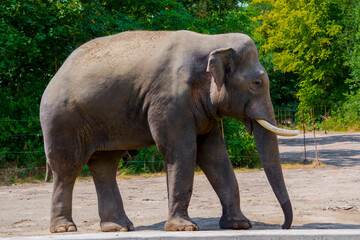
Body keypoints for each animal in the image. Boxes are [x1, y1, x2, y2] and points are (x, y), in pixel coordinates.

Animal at [40, 29, 298, 232]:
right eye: (257, 84)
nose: (284, 226)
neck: (212, 41)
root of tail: (56, 74)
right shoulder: (170, 99)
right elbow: (182, 151)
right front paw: (184, 228)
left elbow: (214, 155)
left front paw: (239, 225)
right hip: (62, 120)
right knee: (67, 168)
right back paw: (65, 228)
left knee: (105, 165)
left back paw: (120, 227)